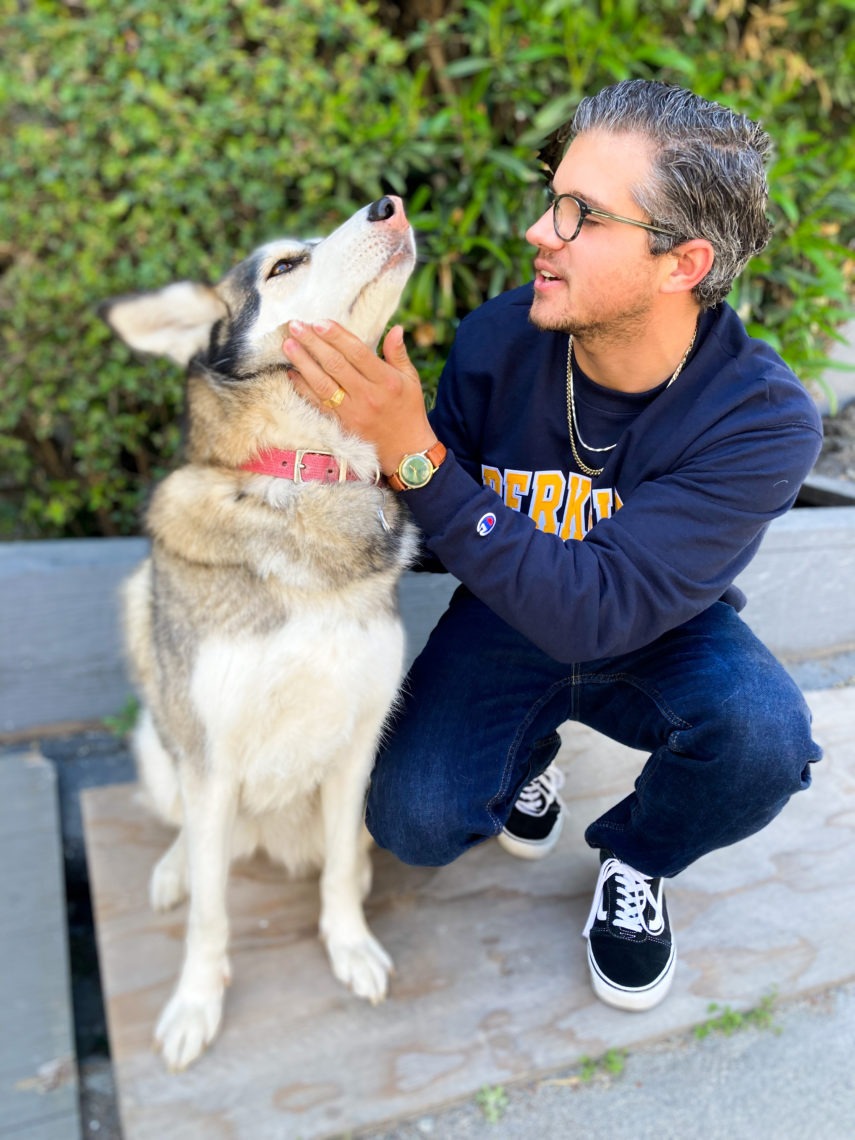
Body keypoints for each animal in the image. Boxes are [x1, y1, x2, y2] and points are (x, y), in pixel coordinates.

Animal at [100, 193, 419, 1067]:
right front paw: (194, 1004)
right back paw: (174, 869)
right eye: (283, 265)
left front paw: (348, 945)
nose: (389, 203)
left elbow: (338, 867)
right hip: (155, 707)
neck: (305, 477)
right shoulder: (211, 761)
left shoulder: (358, 742)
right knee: (187, 832)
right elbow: (210, 912)